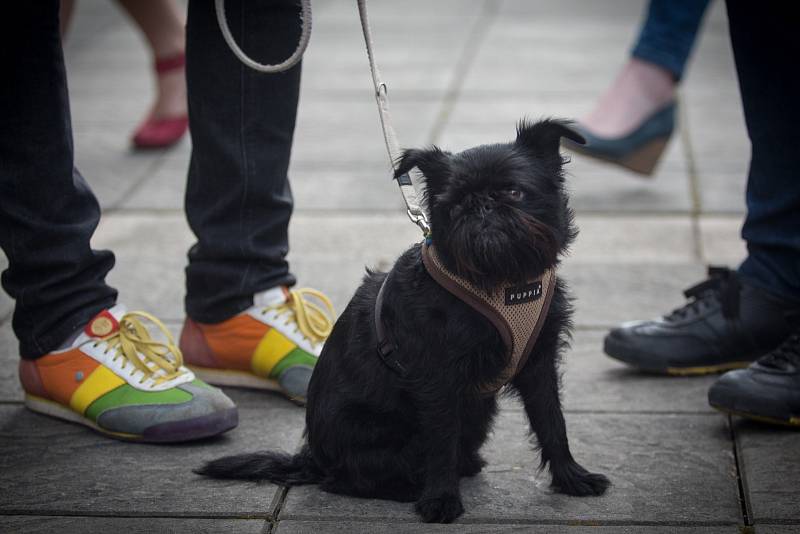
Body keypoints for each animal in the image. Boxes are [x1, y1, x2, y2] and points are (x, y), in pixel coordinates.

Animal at [197, 120, 608, 524]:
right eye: (454, 204)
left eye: (513, 191)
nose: (481, 205)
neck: (502, 282)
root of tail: (312, 456)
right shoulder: (439, 380)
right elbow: (441, 441)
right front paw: (441, 499)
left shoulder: (539, 364)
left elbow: (552, 423)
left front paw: (572, 477)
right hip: (379, 431)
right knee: (347, 479)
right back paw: (408, 488)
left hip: (478, 411)